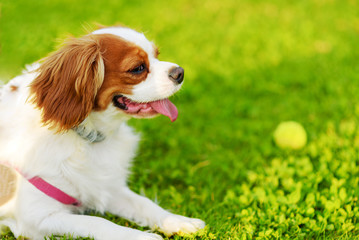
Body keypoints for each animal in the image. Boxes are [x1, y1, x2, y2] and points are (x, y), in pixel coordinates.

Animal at [0, 26, 205, 240]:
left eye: (156, 55)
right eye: (138, 68)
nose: (180, 72)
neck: (86, 136)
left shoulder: (106, 186)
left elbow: (144, 203)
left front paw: (177, 220)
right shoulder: (37, 219)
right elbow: (98, 222)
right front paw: (143, 236)